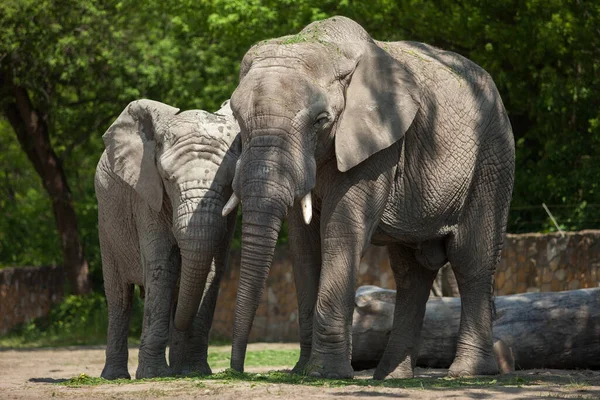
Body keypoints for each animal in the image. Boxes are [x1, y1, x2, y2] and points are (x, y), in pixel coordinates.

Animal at [95, 98, 240, 380]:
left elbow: (211, 273)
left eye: (229, 180)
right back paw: (115, 377)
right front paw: (152, 375)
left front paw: (195, 371)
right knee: (120, 298)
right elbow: (162, 266)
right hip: (107, 227)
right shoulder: (145, 192)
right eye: (168, 178)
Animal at [225, 17, 516, 382]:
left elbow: (341, 231)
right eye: (237, 117)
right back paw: (392, 377)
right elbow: (304, 247)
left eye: (321, 120)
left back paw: (467, 374)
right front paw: (303, 371)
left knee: (470, 259)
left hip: (493, 156)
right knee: (411, 273)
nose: (235, 371)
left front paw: (326, 374)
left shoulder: (376, 143)